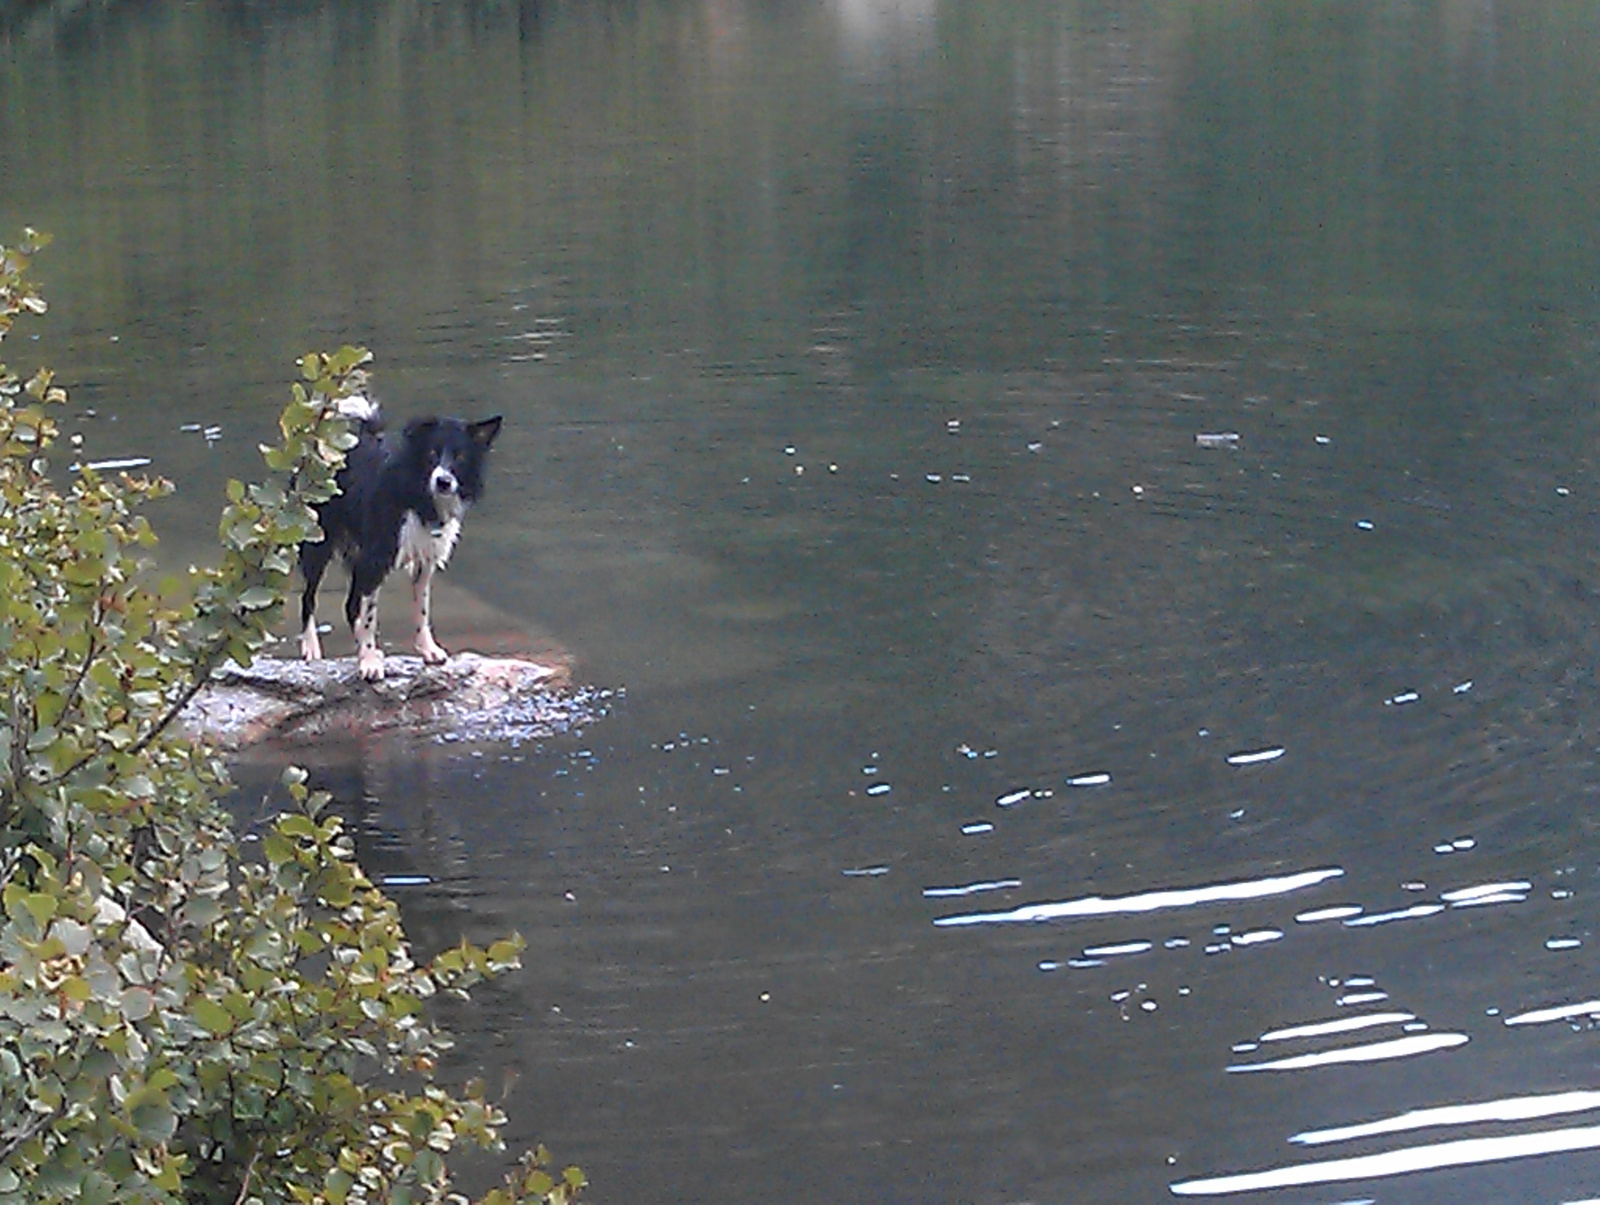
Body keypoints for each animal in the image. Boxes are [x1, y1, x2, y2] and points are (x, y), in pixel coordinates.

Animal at [300, 395, 499, 678]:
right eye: (432, 453)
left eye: (460, 457)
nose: (443, 481)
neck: (419, 496)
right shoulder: (376, 558)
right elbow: (369, 616)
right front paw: (369, 661)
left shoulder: (424, 561)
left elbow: (421, 610)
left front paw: (427, 650)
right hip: (319, 543)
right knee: (309, 598)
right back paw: (311, 647)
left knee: (350, 606)